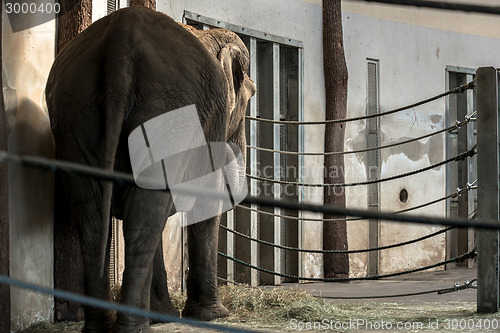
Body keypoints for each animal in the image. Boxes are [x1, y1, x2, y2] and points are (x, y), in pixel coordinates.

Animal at [45, 5, 256, 332]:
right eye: (251, 95)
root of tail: (120, 44)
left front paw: (167, 315)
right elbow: (205, 201)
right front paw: (214, 316)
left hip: (74, 112)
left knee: (99, 210)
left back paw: (106, 326)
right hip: (168, 111)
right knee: (143, 210)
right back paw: (134, 326)